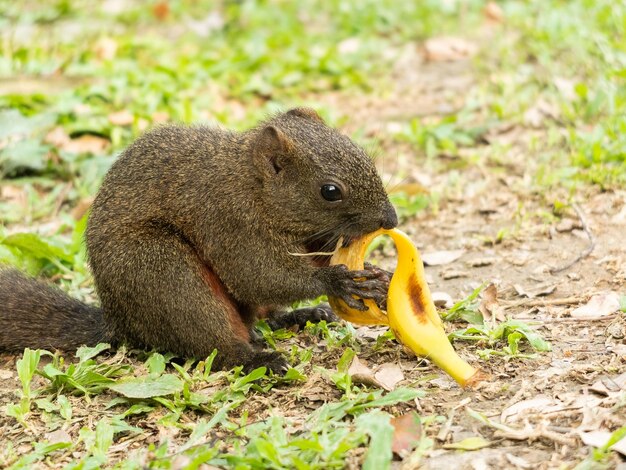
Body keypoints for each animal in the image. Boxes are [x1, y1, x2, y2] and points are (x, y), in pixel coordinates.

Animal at [0, 108, 398, 372]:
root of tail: (120, 324)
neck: (254, 187)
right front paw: (337, 280)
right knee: (218, 346)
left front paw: (377, 276)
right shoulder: (228, 219)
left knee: (260, 319)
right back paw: (260, 359)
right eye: (330, 191)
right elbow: (257, 275)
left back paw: (300, 315)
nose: (391, 219)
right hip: (165, 274)